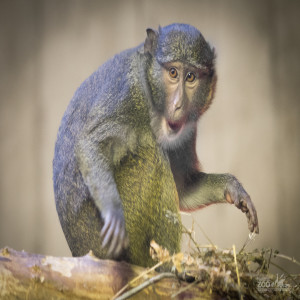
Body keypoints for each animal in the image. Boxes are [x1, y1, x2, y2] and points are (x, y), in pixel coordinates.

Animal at [53, 23, 258, 268]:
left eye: (191, 76)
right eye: (173, 73)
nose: (178, 104)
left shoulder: (188, 128)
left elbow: (184, 187)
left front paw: (231, 187)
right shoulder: (127, 92)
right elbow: (91, 145)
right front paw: (113, 211)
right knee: (151, 159)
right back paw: (169, 266)